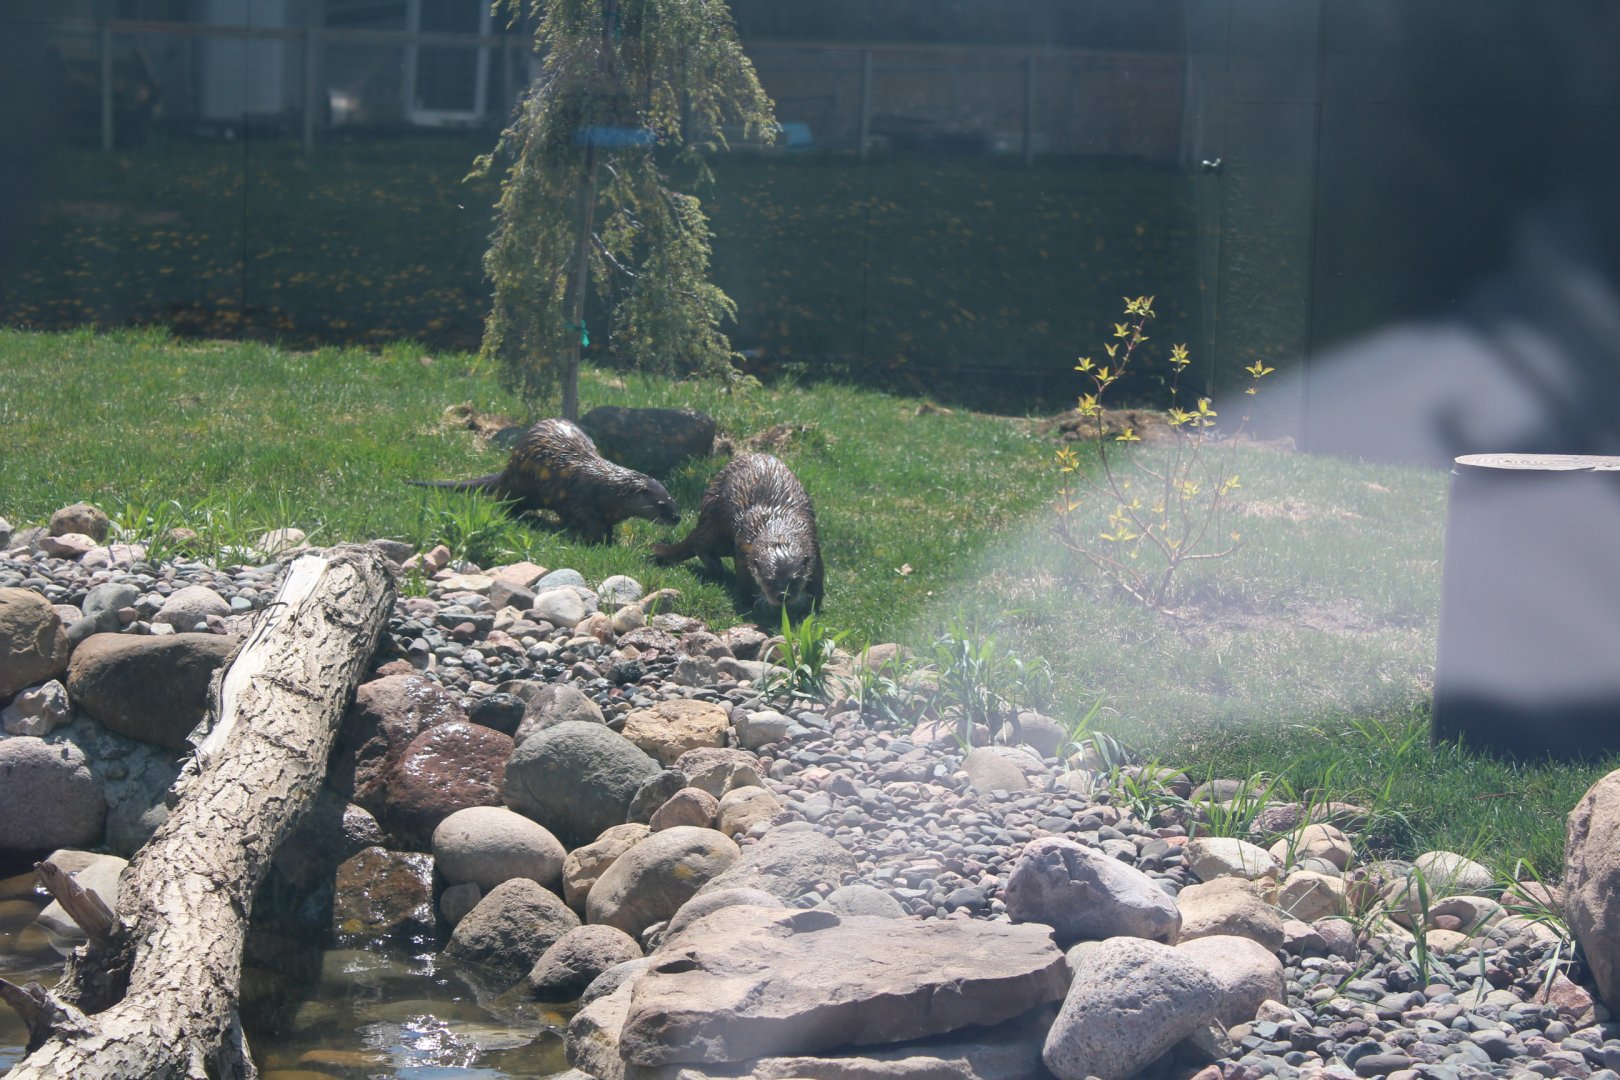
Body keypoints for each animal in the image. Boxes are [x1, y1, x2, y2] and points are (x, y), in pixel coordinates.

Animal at [410, 418, 680, 544]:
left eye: (672, 500)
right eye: (661, 505)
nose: (676, 517)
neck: (604, 487)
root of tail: (508, 467)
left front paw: (610, 537)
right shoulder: (577, 500)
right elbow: (584, 519)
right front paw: (594, 539)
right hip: (519, 486)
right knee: (502, 500)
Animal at [652, 453, 824, 617]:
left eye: (795, 580)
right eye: (769, 581)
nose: (783, 595)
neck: (777, 526)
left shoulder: (813, 548)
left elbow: (817, 583)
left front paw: (809, 609)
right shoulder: (744, 548)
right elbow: (745, 580)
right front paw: (752, 606)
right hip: (715, 525)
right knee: (699, 543)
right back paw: (717, 570)